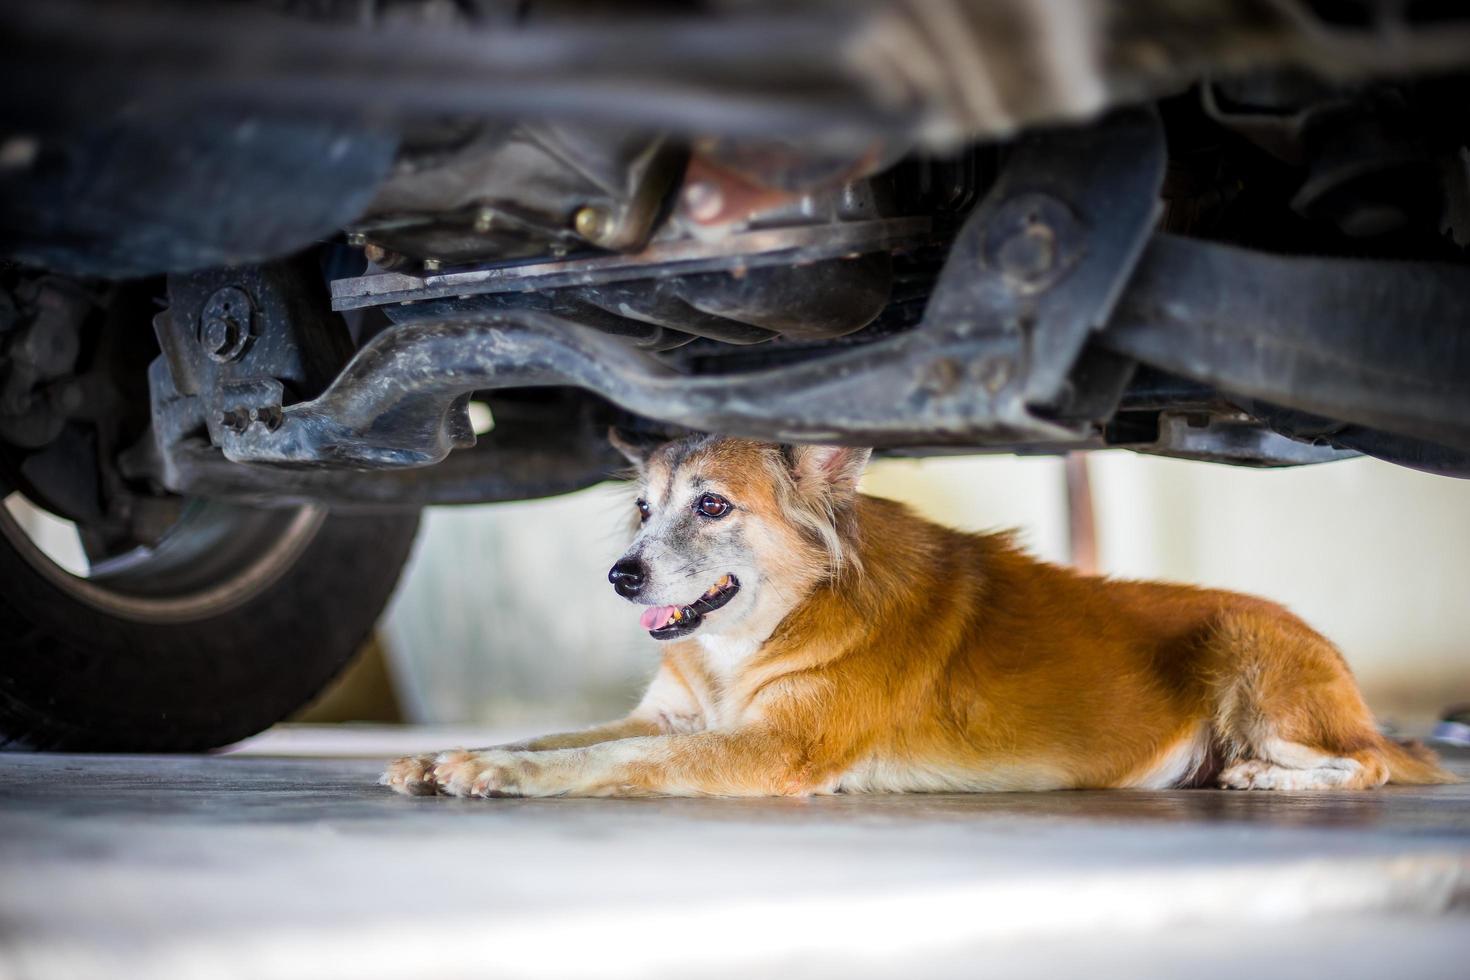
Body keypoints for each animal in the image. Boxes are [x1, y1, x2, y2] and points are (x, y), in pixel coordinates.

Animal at [382, 434, 1458, 799]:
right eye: (643, 510)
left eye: (714, 505)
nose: (619, 574)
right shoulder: (673, 718)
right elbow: (572, 732)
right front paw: (440, 755)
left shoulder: (765, 749)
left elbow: (606, 759)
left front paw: (495, 770)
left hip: (1253, 658)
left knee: (1365, 762)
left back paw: (1268, 777)